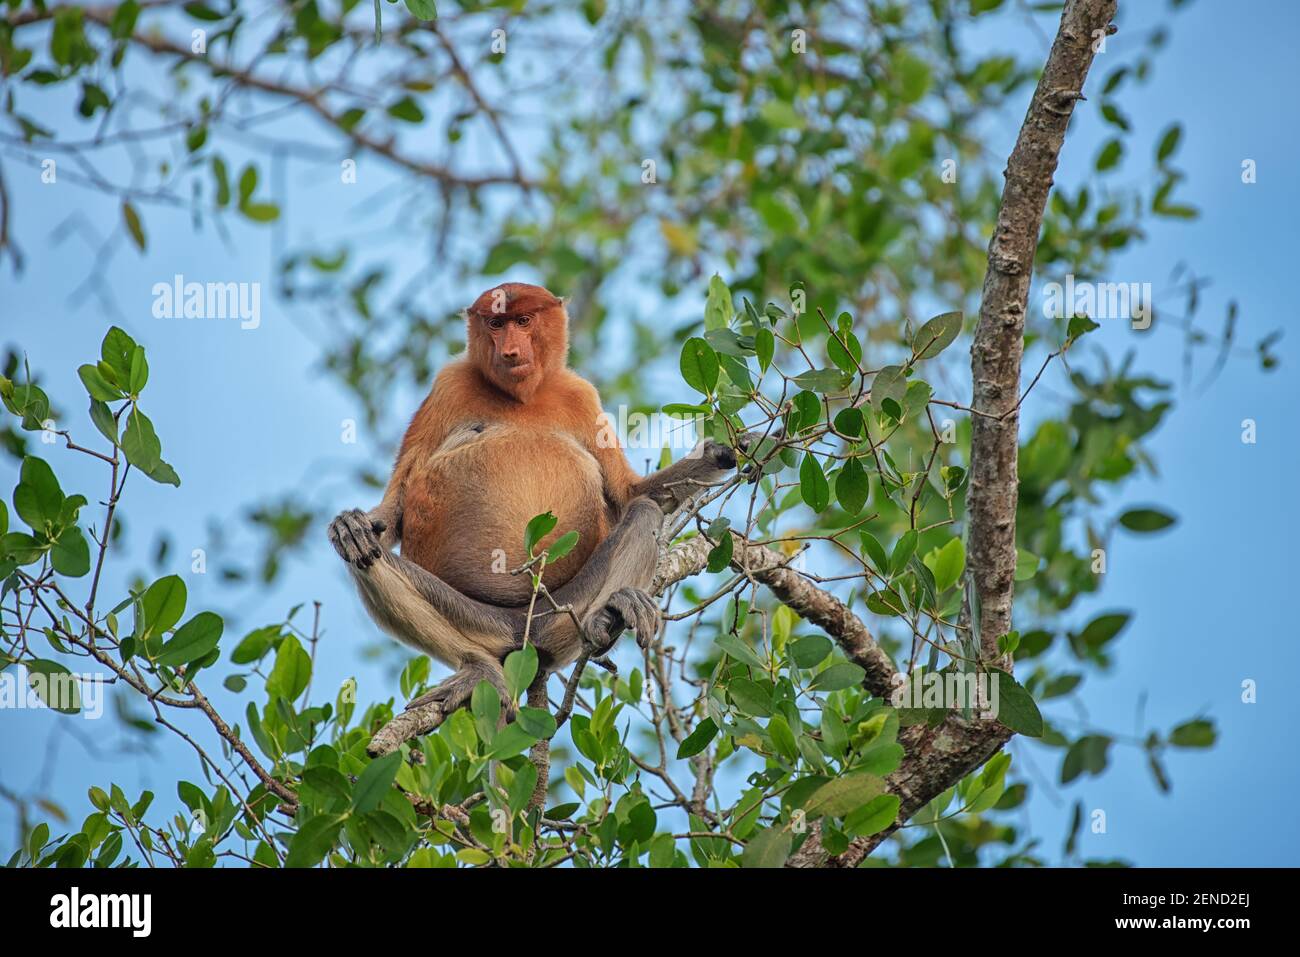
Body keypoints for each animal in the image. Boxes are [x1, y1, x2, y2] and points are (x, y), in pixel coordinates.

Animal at [328, 282, 745, 738]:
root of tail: (523, 626)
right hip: (480, 620)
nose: (510, 351)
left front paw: (724, 452)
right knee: (367, 558)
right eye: (496, 323)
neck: (522, 397)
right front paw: (349, 524)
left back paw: (607, 616)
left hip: (565, 611)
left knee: (643, 514)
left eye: (523, 321)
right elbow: (395, 509)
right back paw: (479, 671)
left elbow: (630, 493)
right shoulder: (448, 384)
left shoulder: (581, 395)